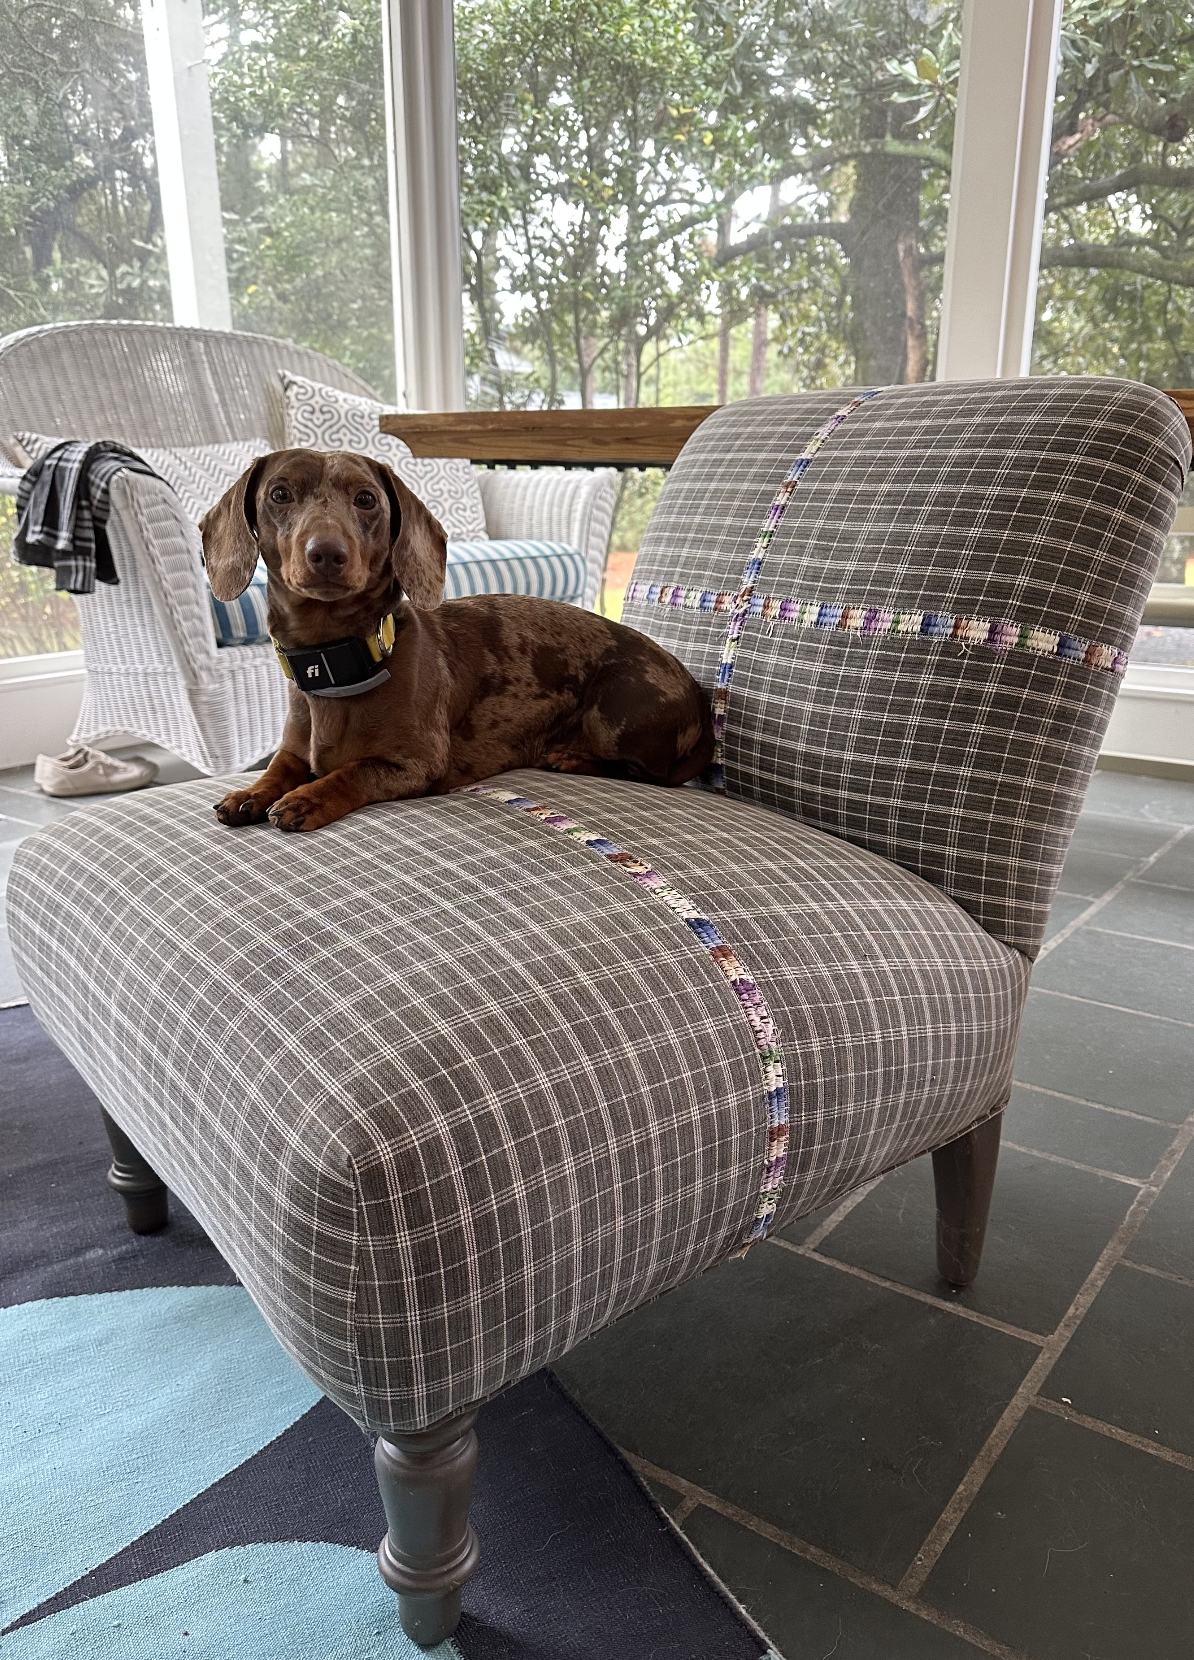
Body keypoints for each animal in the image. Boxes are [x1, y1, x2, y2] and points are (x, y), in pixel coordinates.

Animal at [200, 449, 714, 832]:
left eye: (366, 499)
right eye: (279, 494)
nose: (327, 553)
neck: (338, 664)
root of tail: (698, 698)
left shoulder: (413, 764)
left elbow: (354, 771)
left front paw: (307, 797)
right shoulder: (292, 750)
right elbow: (278, 767)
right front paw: (251, 792)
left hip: (615, 711)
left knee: (644, 771)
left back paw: (571, 757)